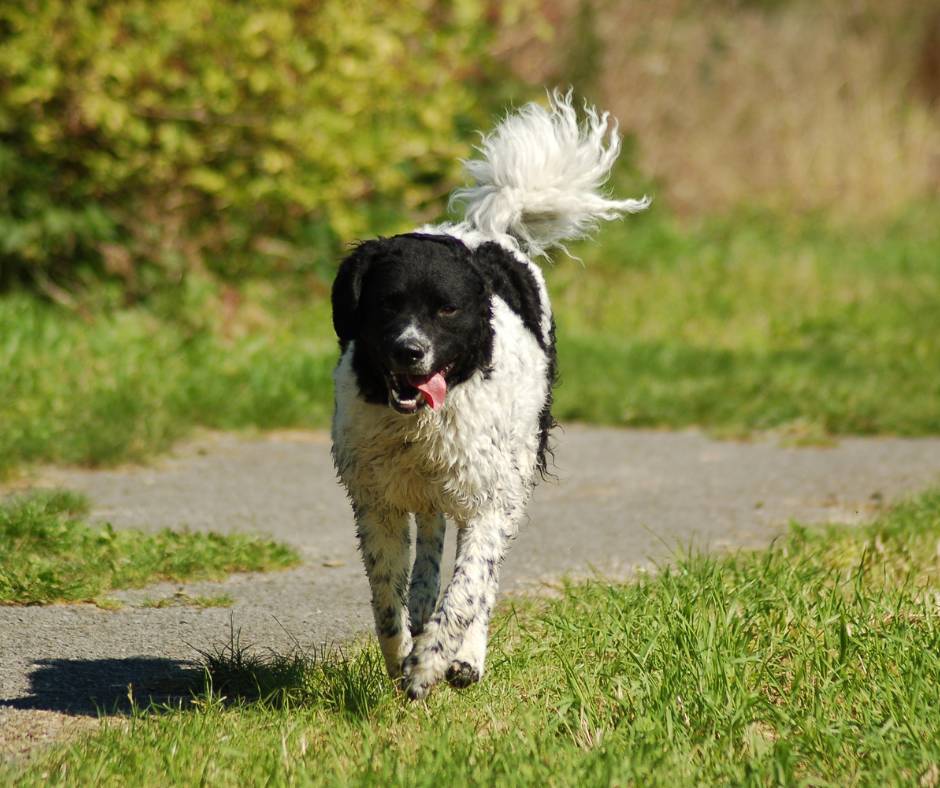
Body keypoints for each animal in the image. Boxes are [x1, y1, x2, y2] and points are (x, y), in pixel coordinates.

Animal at [328, 89, 648, 700]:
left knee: (481, 580)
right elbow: (387, 599)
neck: (422, 424)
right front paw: (402, 654)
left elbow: (468, 589)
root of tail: (489, 231)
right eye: (387, 304)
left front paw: (432, 662)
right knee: (429, 553)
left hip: (513, 475)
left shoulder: (488, 498)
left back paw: (464, 658)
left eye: (447, 309)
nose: (409, 352)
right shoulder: (376, 499)